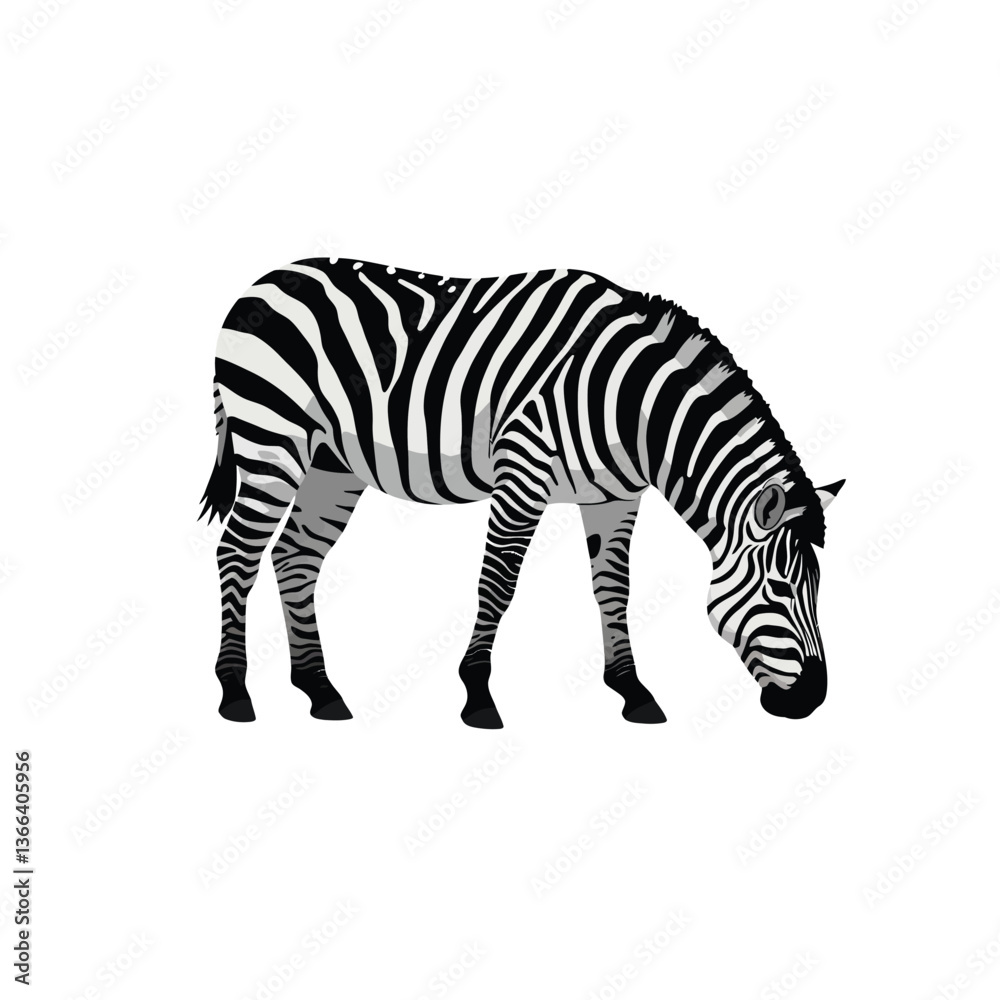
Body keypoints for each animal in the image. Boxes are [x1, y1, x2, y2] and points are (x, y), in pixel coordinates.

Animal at [201, 257, 843, 727]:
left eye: (818, 590)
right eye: (782, 590)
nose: (812, 701)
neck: (630, 404)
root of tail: (261, 282)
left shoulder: (613, 498)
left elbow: (613, 590)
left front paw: (632, 690)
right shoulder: (522, 473)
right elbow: (498, 584)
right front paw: (478, 696)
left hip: (332, 465)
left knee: (294, 557)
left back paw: (320, 690)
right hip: (271, 439)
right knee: (238, 551)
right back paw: (235, 692)